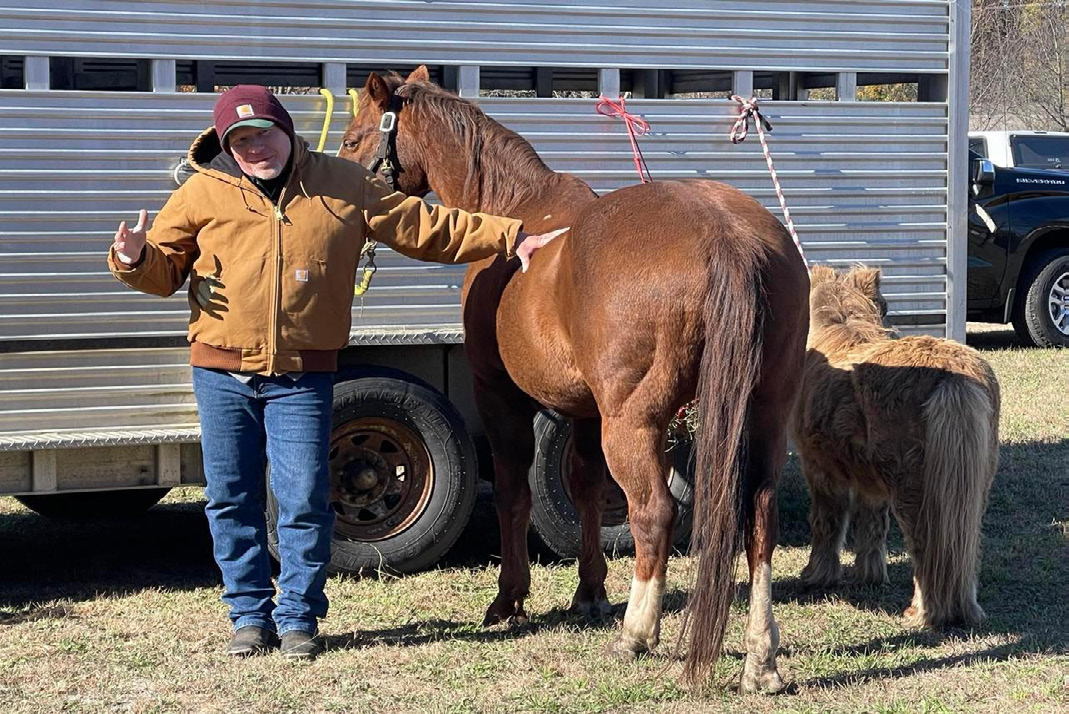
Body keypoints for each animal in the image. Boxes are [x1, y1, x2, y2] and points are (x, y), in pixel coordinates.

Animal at [337, 68, 803, 692]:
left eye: (355, 137)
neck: (516, 207)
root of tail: (726, 236)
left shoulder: (499, 395)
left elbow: (515, 492)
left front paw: (508, 601)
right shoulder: (583, 410)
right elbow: (584, 488)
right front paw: (590, 593)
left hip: (633, 421)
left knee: (654, 512)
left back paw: (636, 635)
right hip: (763, 415)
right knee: (759, 517)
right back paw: (761, 659)